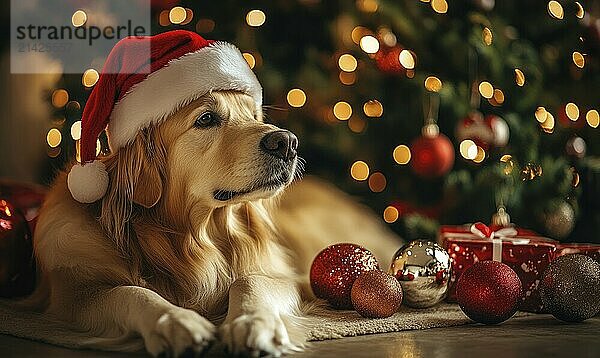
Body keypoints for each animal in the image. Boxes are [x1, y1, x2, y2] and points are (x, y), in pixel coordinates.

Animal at [21, 90, 400, 358]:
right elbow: (131, 291)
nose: (288, 143)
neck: (187, 238)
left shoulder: (281, 274)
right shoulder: (73, 293)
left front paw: (253, 323)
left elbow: (249, 280)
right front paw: (176, 321)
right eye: (206, 119)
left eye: (254, 115)